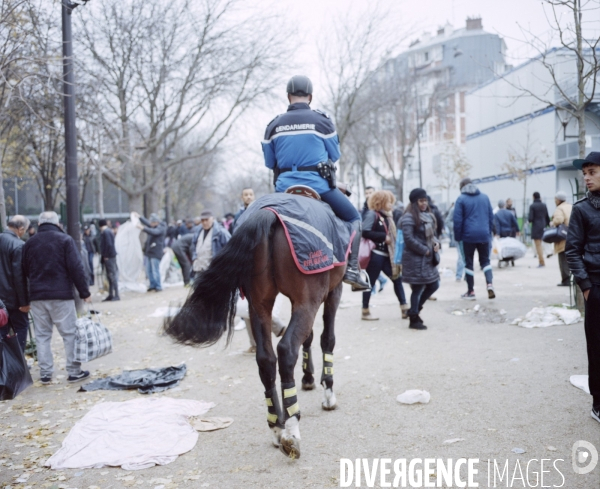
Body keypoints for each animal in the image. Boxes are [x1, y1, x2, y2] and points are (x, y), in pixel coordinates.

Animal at [164, 191, 352, 458]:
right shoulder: (331, 292)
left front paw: (308, 378)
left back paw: (277, 426)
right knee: (286, 350)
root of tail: (268, 214)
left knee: (266, 359)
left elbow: (308, 337)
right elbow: (327, 339)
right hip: (308, 299)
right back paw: (292, 429)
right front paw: (327, 393)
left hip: (260, 305)